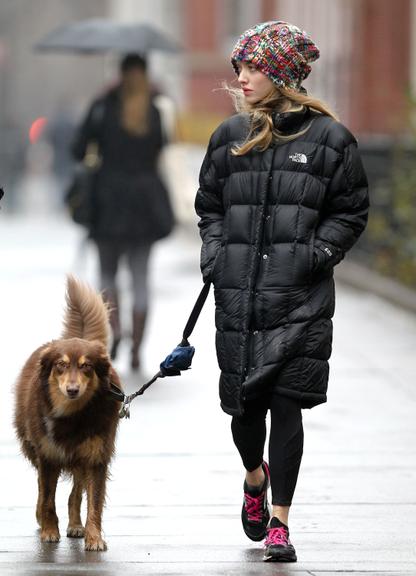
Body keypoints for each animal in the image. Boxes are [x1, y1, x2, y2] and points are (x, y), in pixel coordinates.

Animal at [13, 276, 122, 552]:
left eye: (86, 367)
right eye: (61, 365)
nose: (72, 390)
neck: (73, 415)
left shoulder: (96, 457)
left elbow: (94, 501)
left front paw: (94, 537)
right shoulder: (48, 454)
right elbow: (47, 497)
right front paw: (49, 530)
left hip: (81, 455)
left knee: (76, 492)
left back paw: (75, 525)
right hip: (34, 449)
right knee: (42, 489)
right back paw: (43, 518)